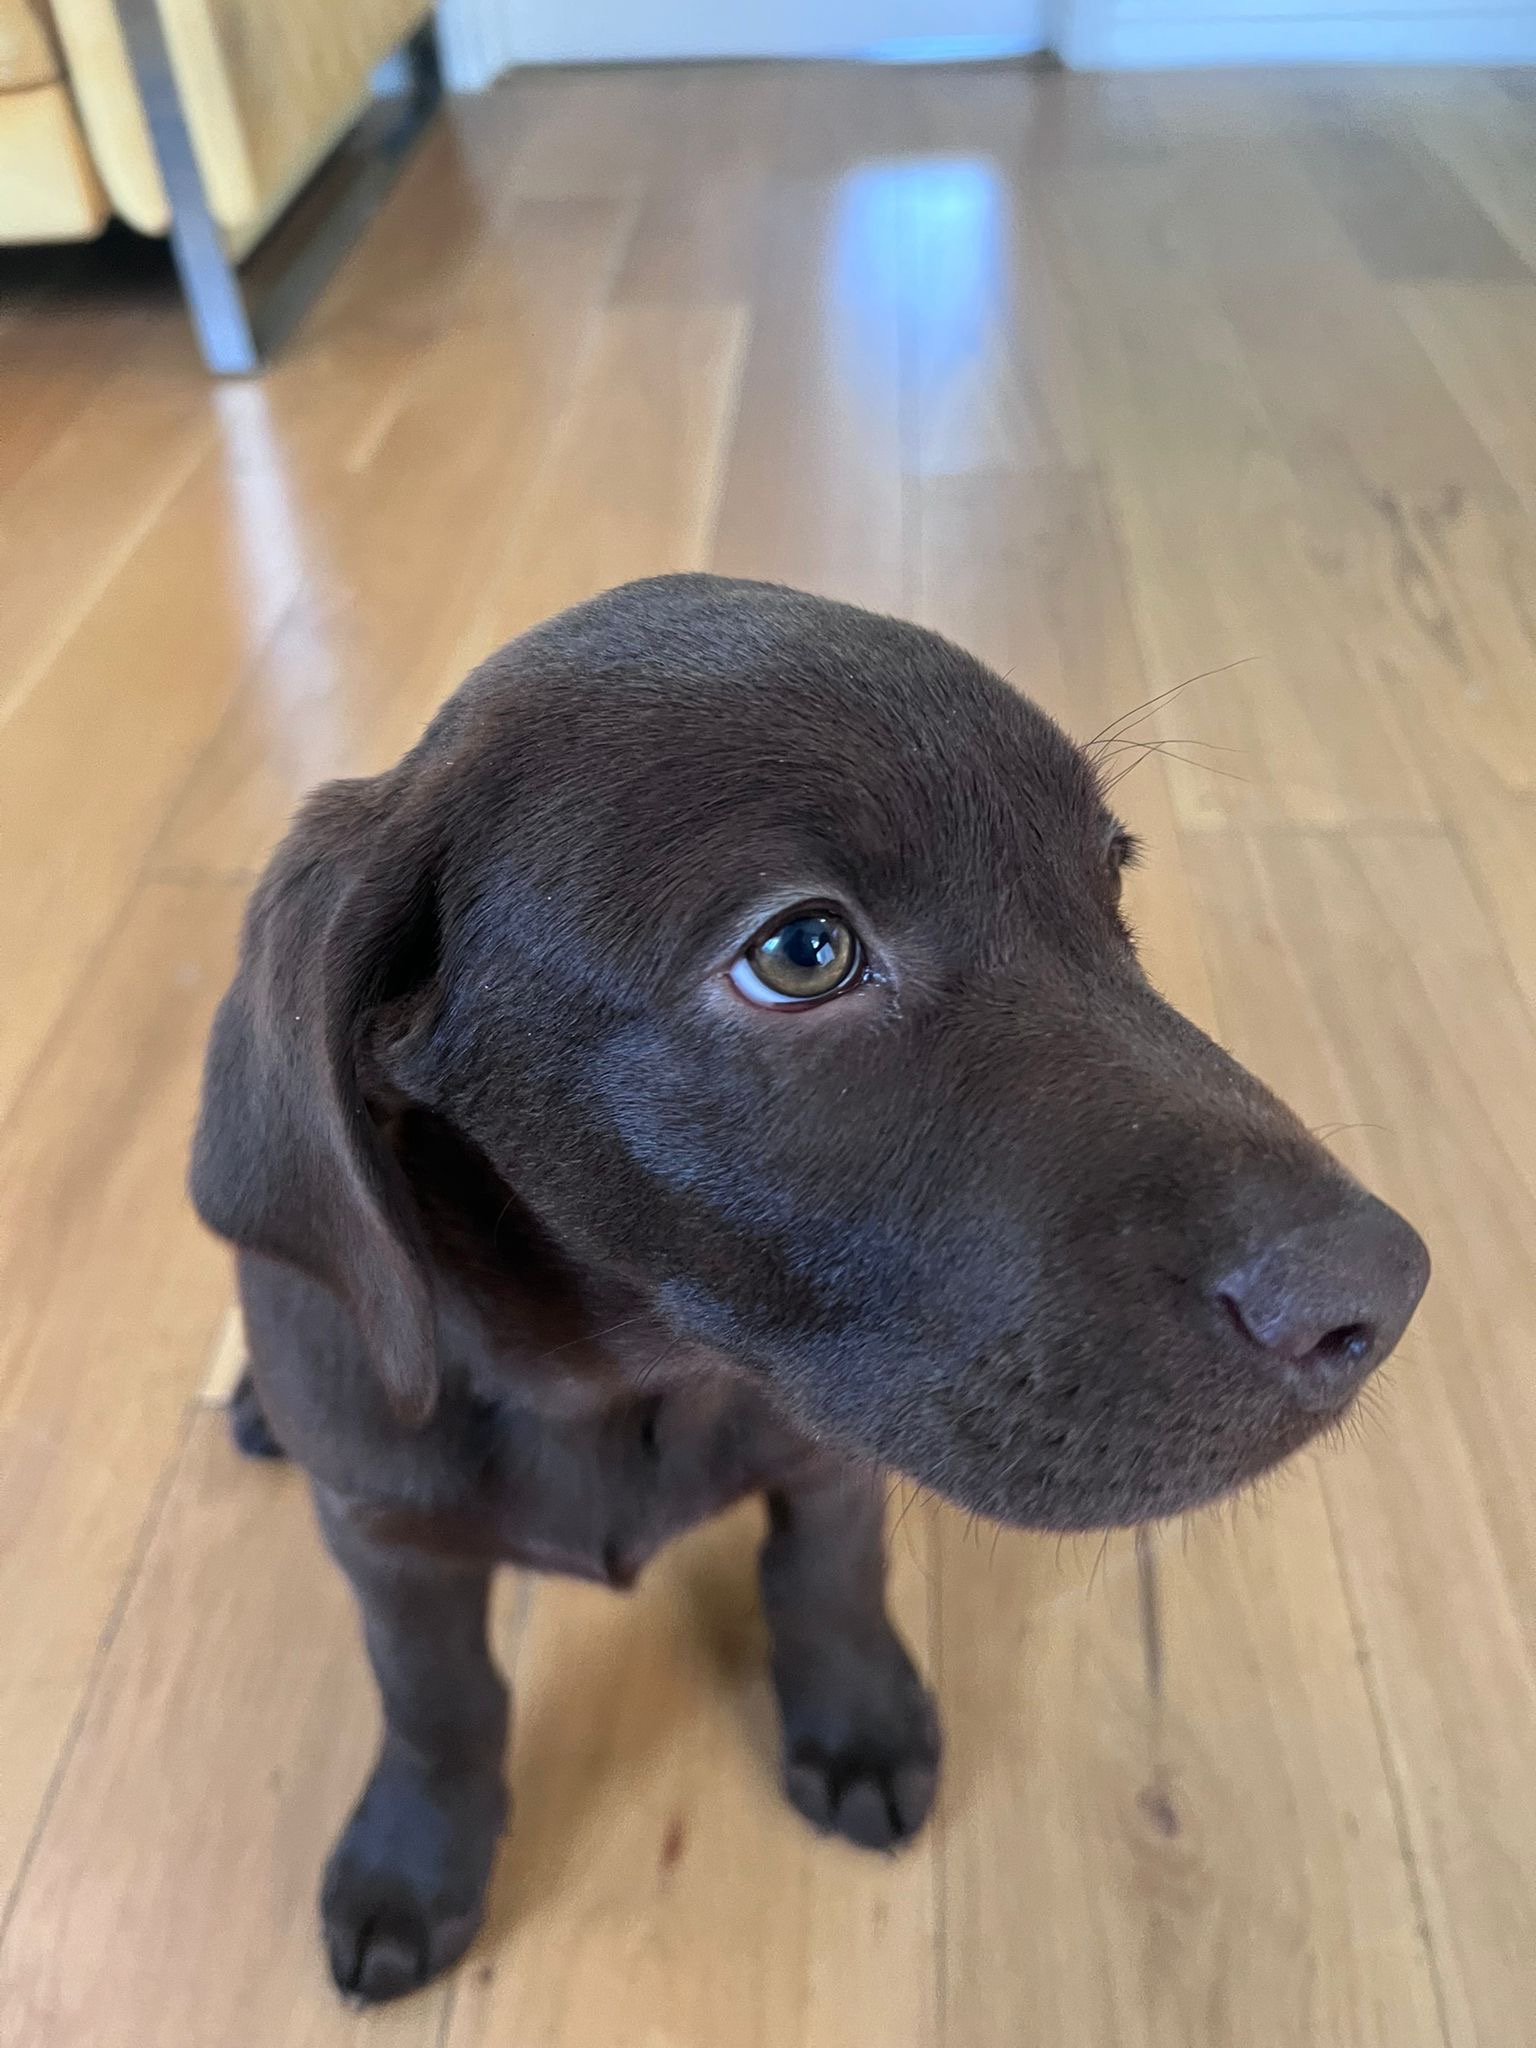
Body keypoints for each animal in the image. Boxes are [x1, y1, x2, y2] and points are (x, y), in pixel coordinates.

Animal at [191, 573, 1428, 2002]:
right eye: (802, 950)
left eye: (1108, 880)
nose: (1382, 1294)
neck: (622, 1380)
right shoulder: (384, 1532)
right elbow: (436, 1694)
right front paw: (414, 1852)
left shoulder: (831, 1450)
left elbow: (828, 1577)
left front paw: (858, 1719)